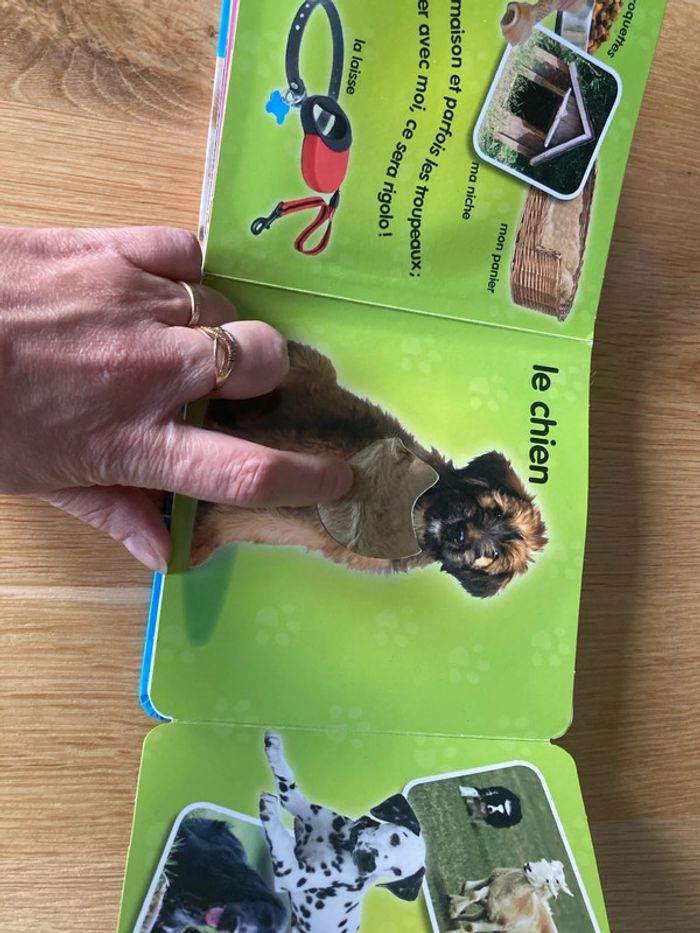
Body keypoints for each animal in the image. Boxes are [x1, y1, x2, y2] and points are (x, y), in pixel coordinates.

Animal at [259, 730, 426, 933]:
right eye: (395, 839)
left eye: (396, 872)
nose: (368, 863)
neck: (343, 842)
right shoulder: (300, 806)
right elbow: (288, 783)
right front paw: (274, 747)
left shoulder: (293, 875)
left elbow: (281, 840)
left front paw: (270, 810)